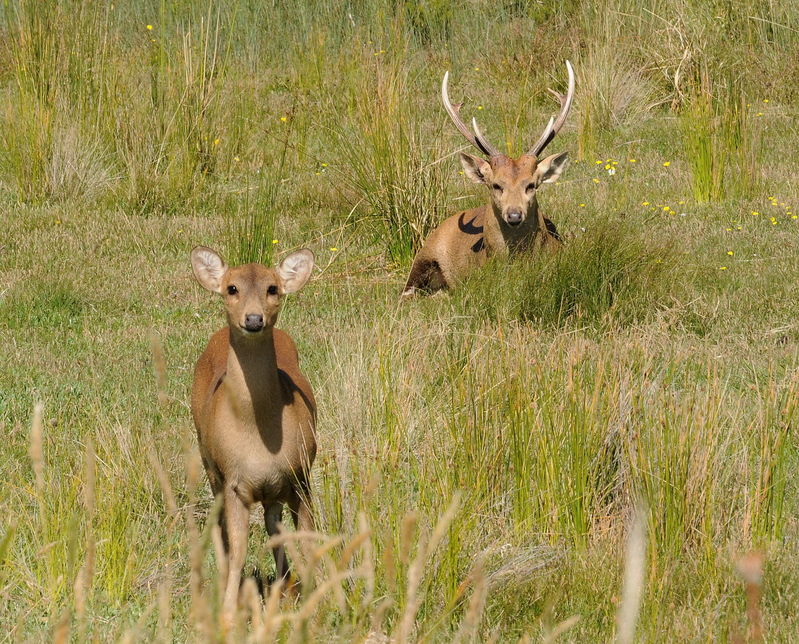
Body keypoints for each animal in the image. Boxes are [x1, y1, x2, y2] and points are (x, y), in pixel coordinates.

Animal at [189, 245, 316, 622]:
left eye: (272, 288)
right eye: (232, 288)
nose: (254, 319)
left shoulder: (300, 476)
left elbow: (306, 539)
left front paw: (318, 600)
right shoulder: (234, 481)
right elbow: (240, 546)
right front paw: (230, 614)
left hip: (275, 488)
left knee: (274, 525)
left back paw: (286, 588)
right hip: (209, 464)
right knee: (222, 528)